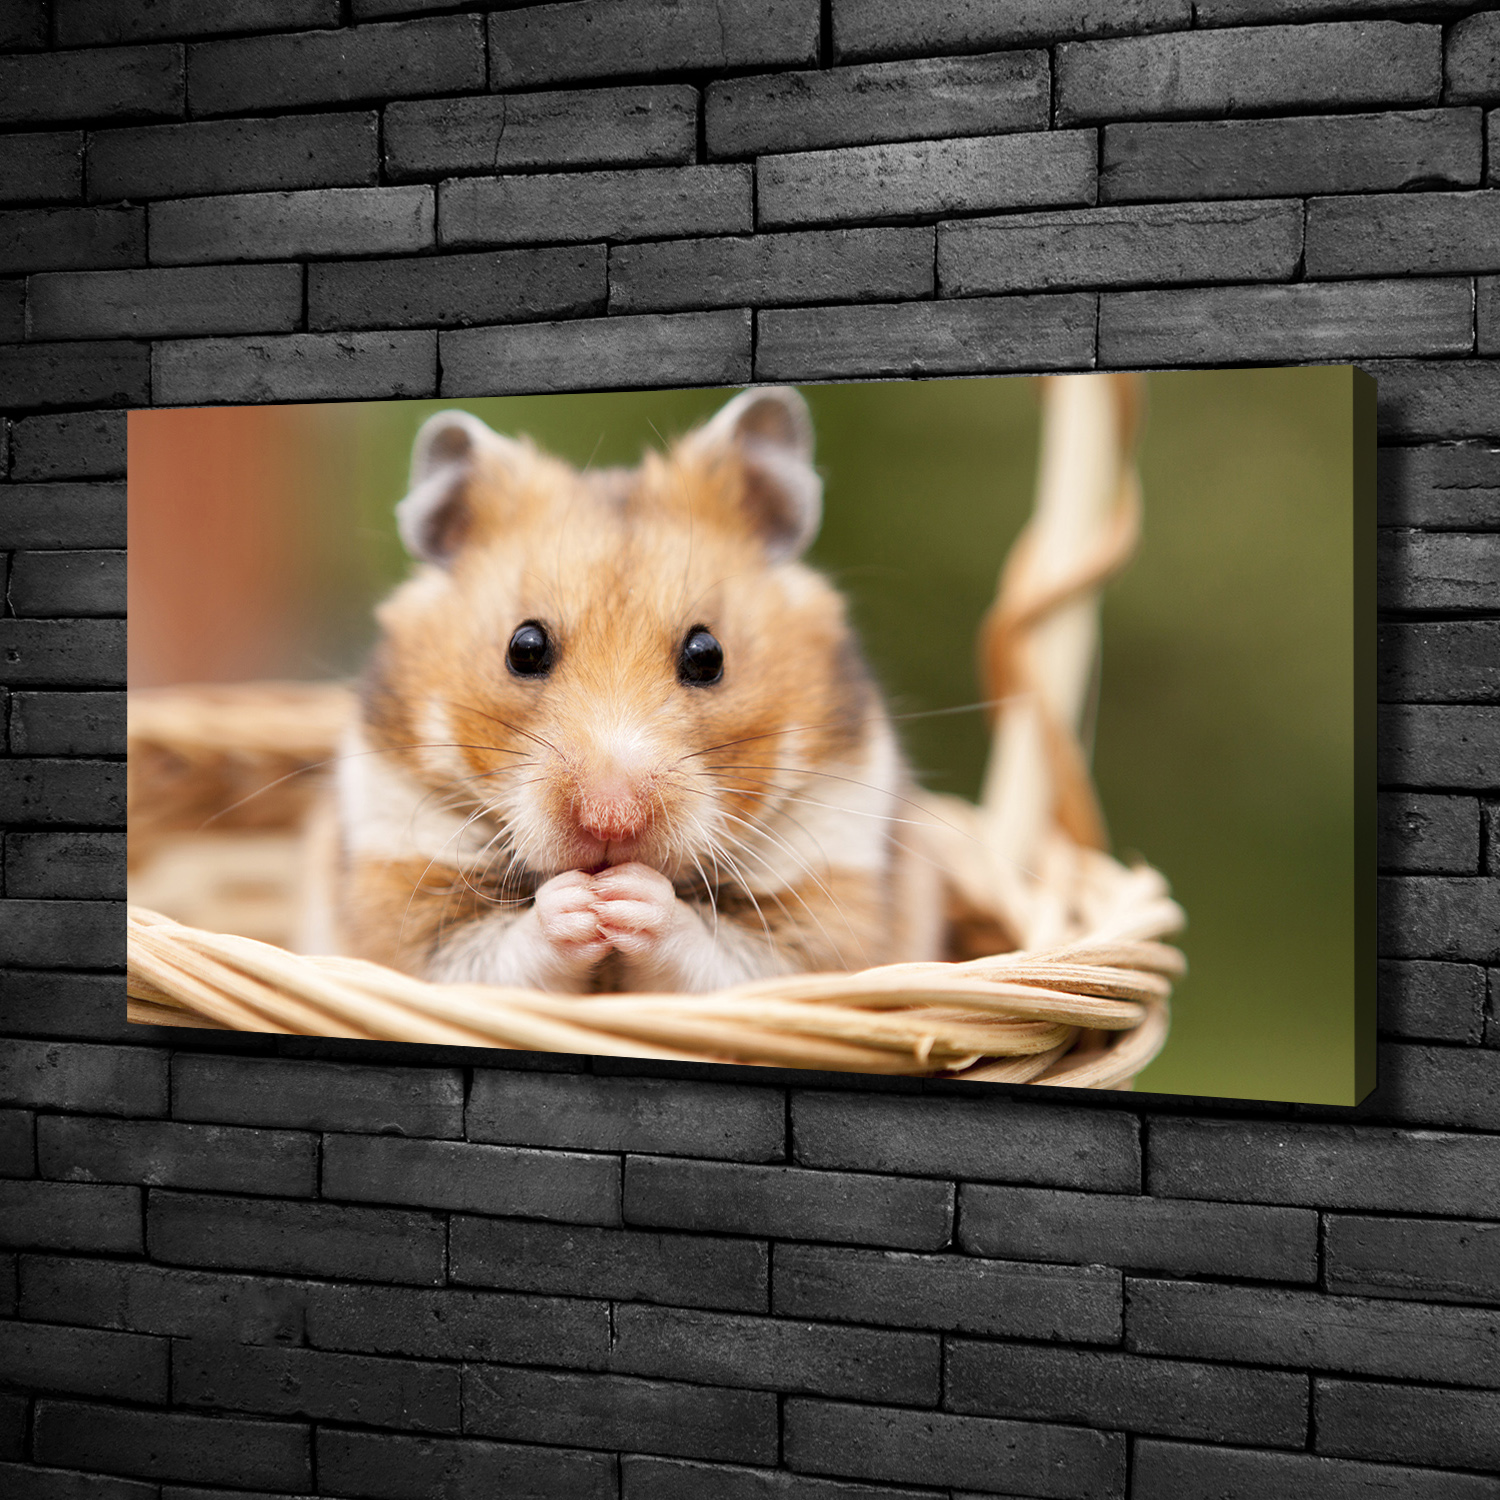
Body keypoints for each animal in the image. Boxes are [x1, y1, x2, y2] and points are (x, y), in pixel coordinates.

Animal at [317, 386, 944, 993]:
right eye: (524, 647)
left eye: (708, 655)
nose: (610, 821)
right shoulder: (399, 889)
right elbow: (489, 954)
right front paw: (580, 904)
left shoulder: (827, 908)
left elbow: (723, 956)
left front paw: (627, 898)